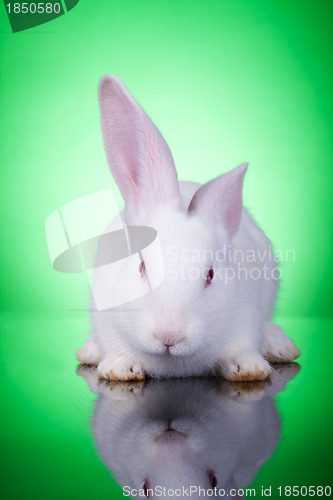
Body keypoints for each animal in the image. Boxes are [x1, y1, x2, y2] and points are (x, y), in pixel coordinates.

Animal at [76, 74, 300, 380]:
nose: (169, 336)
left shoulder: (245, 319)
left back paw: (280, 346)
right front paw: (120, 368)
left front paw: (249, 369)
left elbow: (242, 349)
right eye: (141, 267)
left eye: (210, 275)